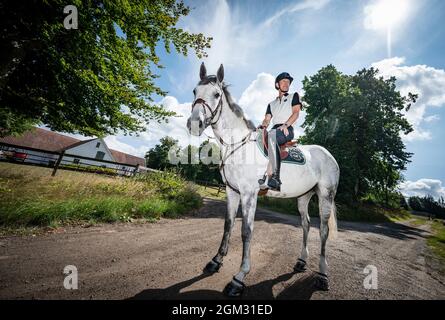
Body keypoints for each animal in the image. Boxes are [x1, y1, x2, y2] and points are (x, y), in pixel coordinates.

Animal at [186, 62, 338, 298]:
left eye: (216, 94)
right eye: (195, 91)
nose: (195, 124)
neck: (237, 145)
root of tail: (329, 155)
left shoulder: (249, 194)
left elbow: (246, 231)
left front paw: (239, 278)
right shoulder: (232, 192)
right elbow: (228, 225)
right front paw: (216, 261)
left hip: (325, 196)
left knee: (323, 231)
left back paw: (322, 276)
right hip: (304, 197)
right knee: (305, 224)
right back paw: (301, 262)